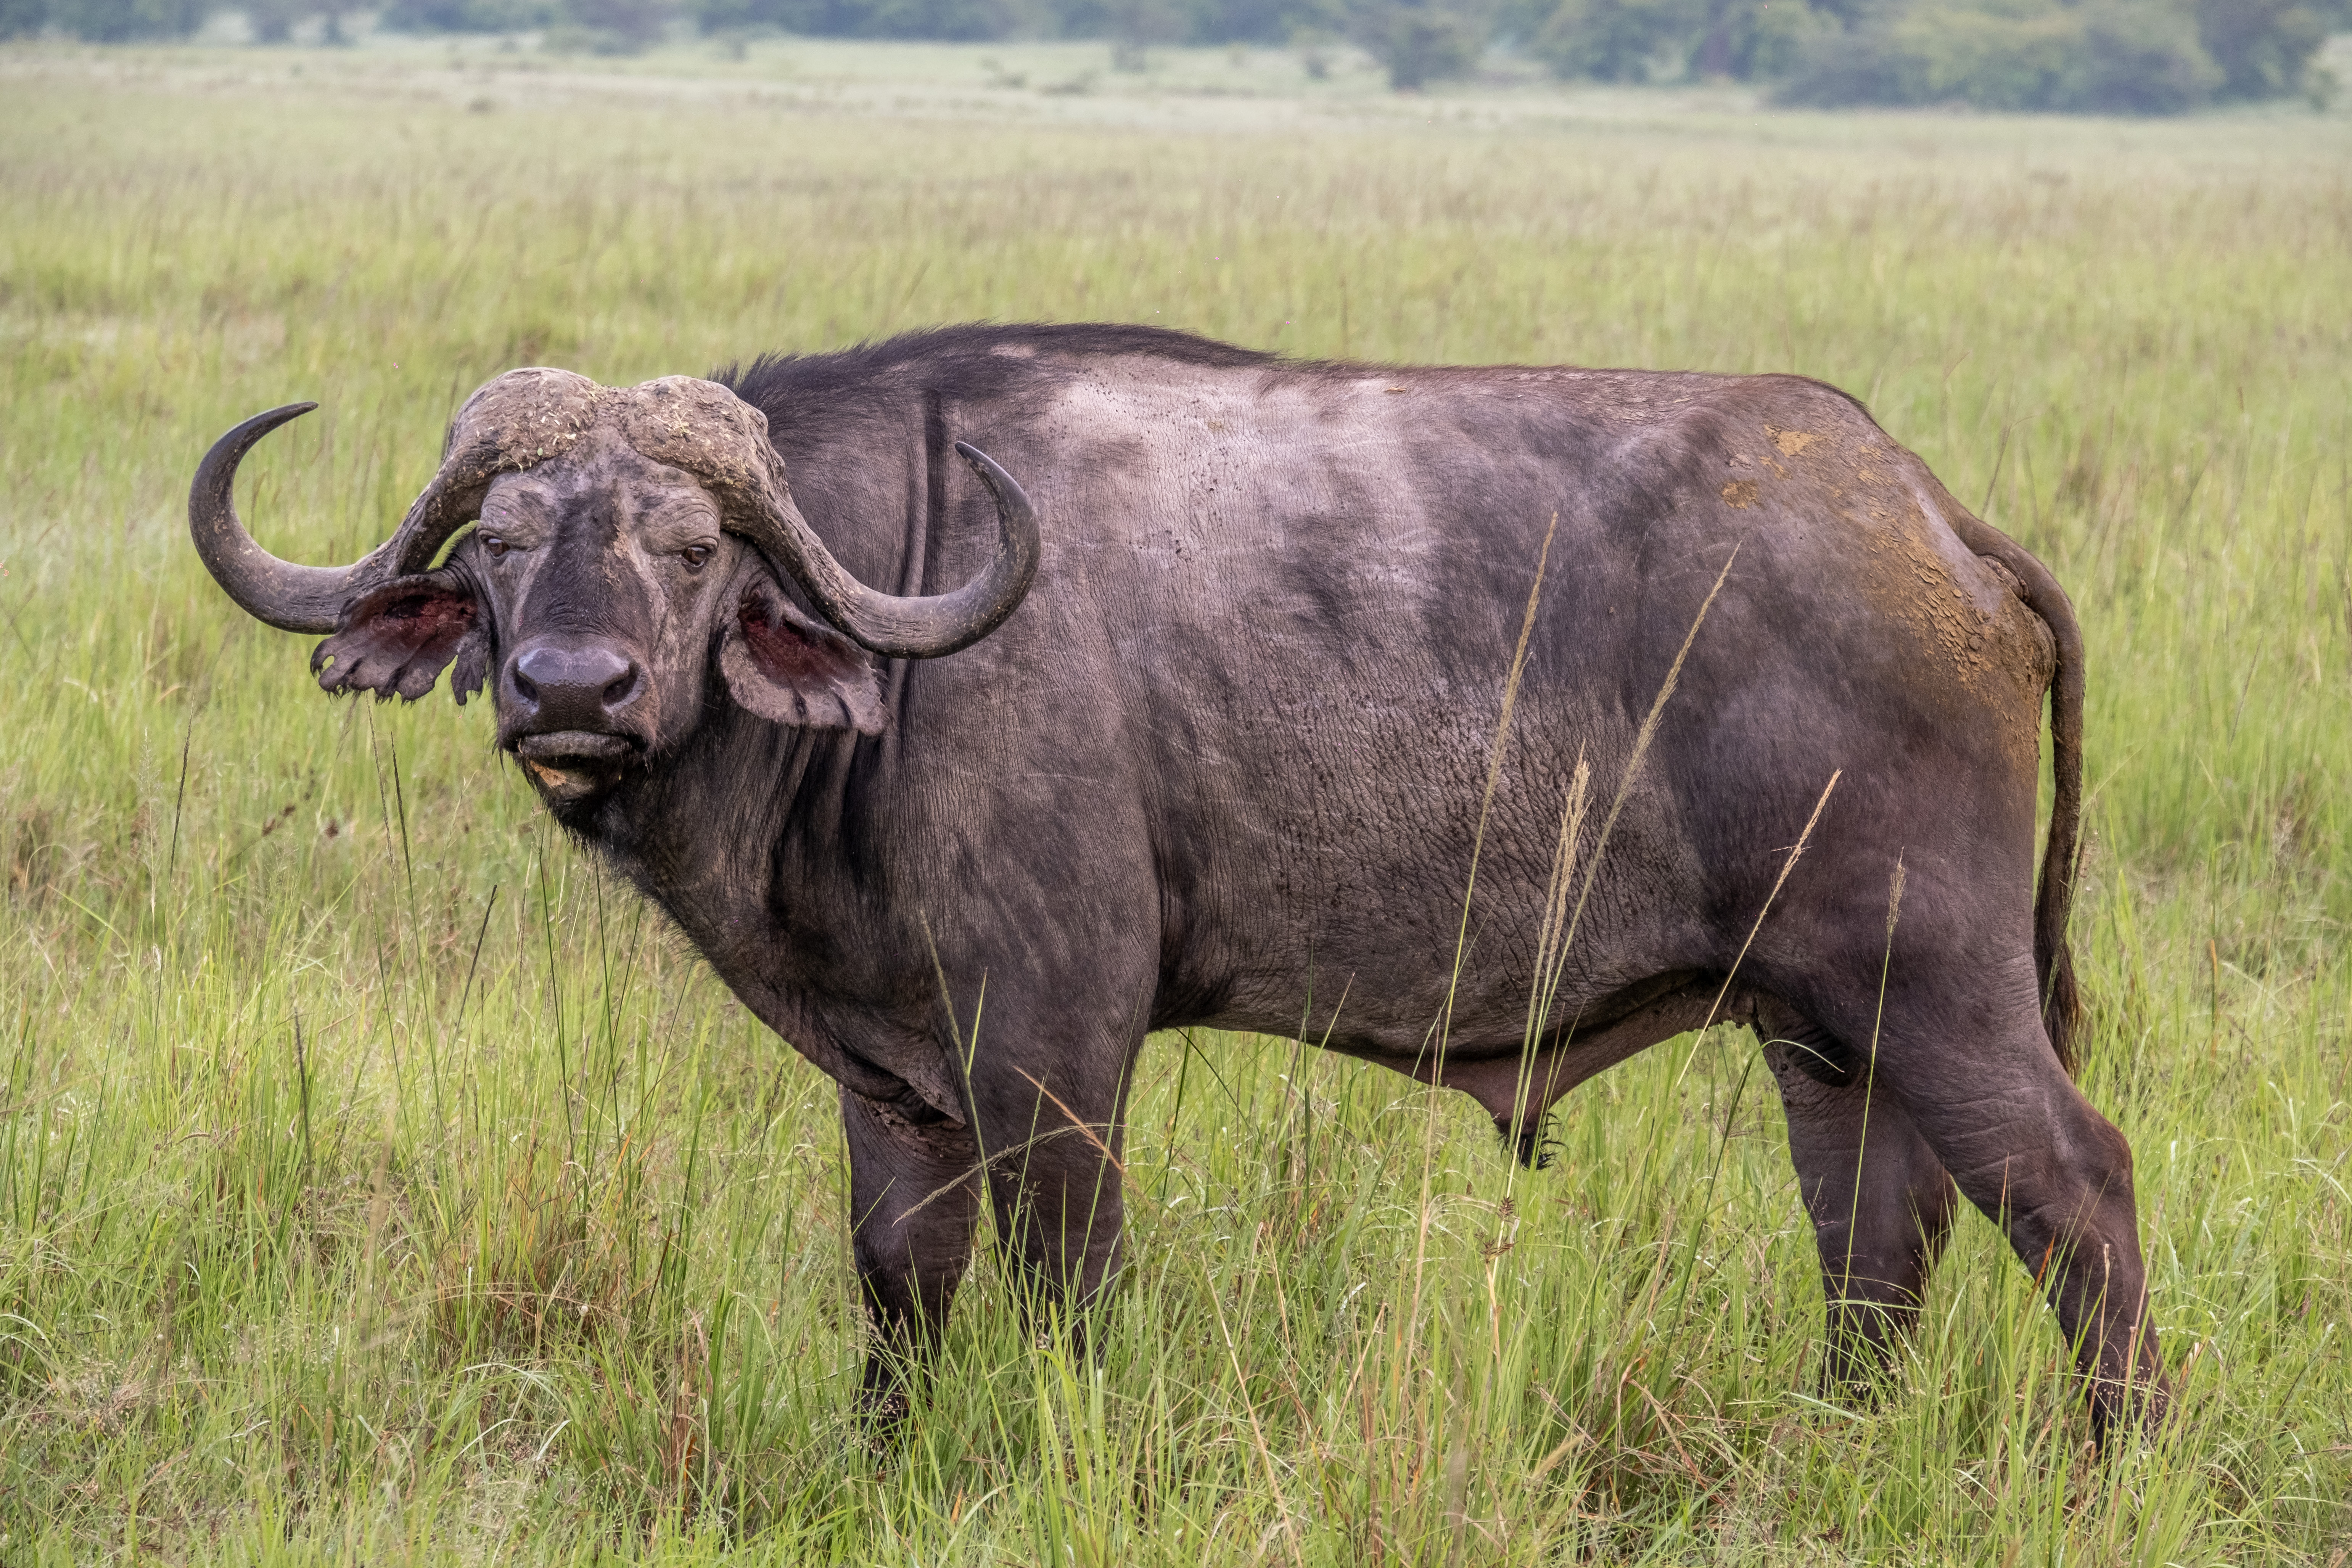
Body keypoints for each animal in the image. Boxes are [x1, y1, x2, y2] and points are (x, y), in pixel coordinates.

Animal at [190, 324, 2169, 1440]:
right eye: (502, 544)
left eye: (688, 548)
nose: (572, 693)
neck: (901, 622)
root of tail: (1928, 519)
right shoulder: (896, 1080)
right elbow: (900, 1286)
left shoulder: (1057, 1048)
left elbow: (1067, 1286)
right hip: (1819, 1027)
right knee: (1876, 1233)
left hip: (1931, 980)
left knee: (2069, 1185)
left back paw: (2111, 1459)